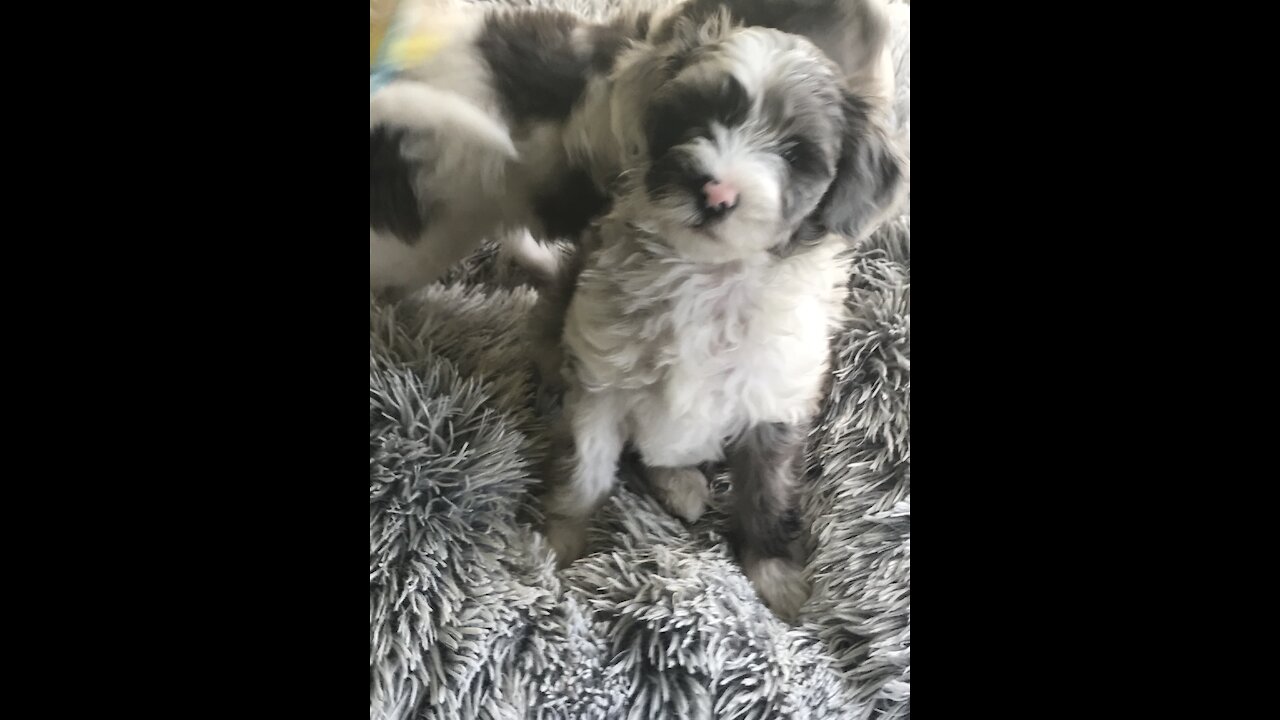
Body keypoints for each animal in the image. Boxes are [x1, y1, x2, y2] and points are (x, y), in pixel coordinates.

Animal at [540, 12, 911, 617]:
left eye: (795, 154)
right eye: (694, 118)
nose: (715, 192)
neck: (710, 277)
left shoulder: (776, 402)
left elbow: (765, 493)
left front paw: (775, 576)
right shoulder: (598, 380)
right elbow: (585, 469)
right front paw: (560, 539)